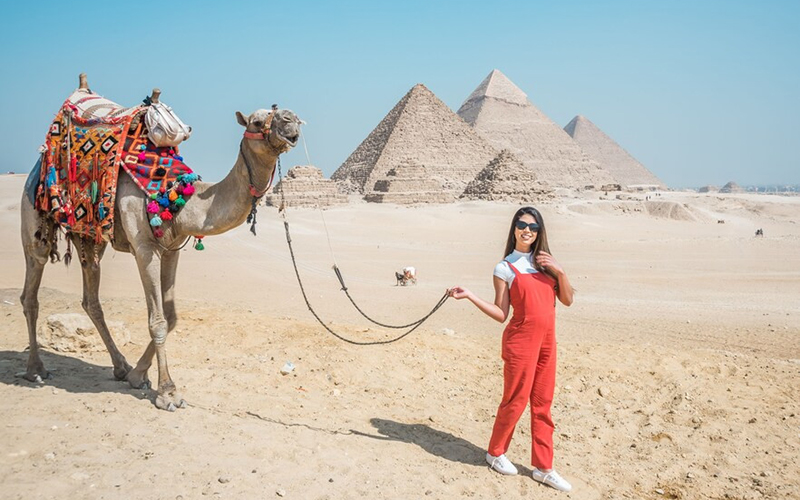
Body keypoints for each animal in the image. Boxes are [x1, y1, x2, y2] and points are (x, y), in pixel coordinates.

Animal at [18, 77, 302, 410]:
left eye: (282, 114)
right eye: (257, 121)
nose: (291, 119)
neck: (179, 197)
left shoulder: (171, 249)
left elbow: (172, 316)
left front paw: (137, 376)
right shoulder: (145, 249)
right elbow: (157, 321)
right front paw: (168, 392)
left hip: (90, 238)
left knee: (91, 298)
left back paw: (120, 366)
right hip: (34, 216)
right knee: (31, 291)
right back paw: (36, 370)